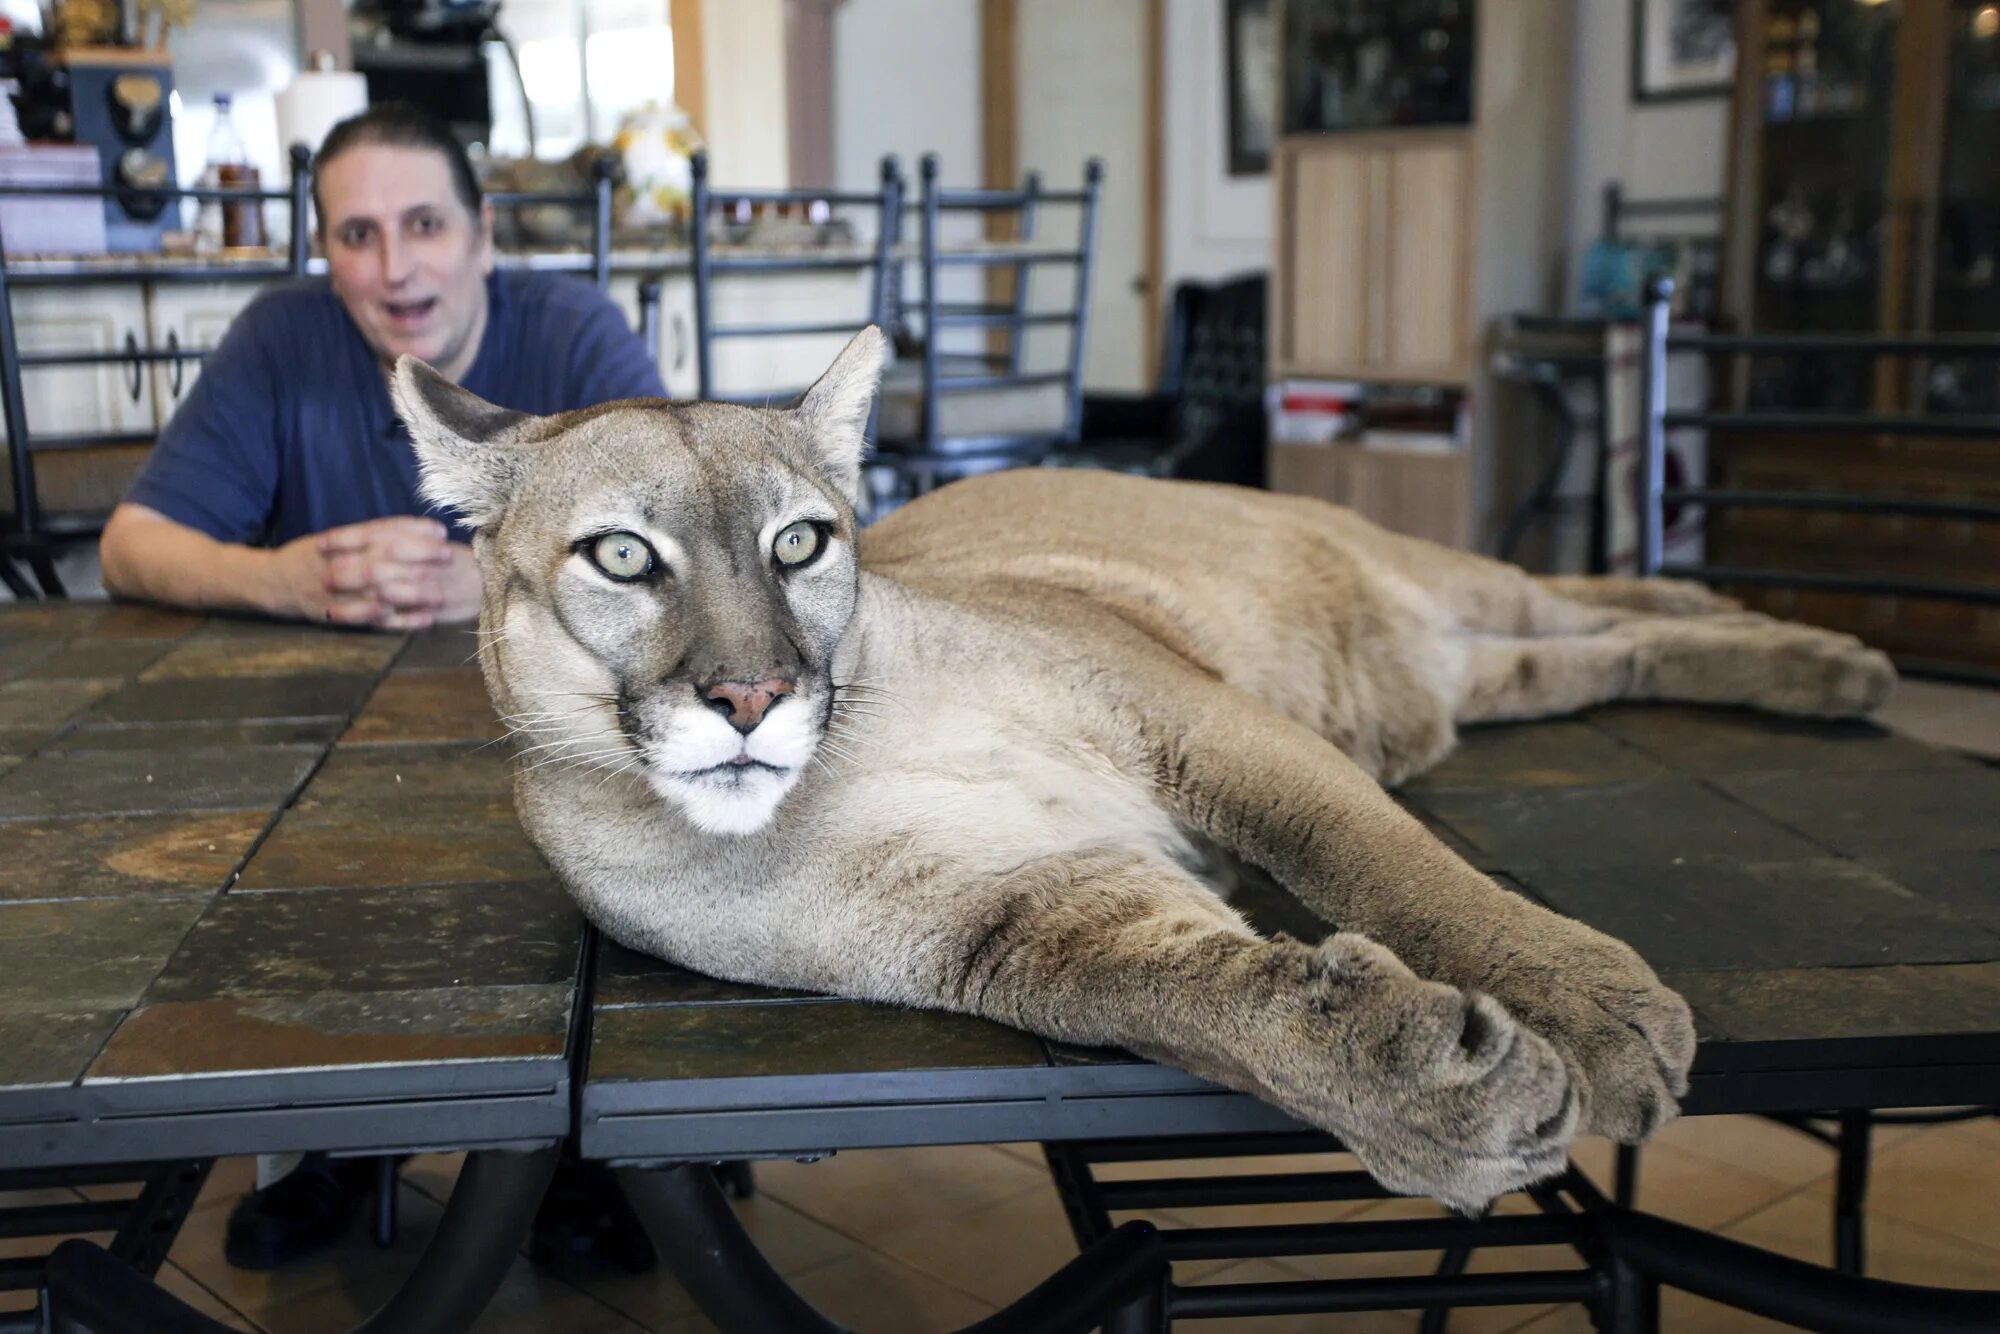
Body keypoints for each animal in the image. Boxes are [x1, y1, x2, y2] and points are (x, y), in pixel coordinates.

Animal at [398, 328, 1896, 1216]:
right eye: (622, 555)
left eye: (801, 543)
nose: (752, 693)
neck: (855, 749)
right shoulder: (1028, 913)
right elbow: (1201, 1002)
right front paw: (1429, 1092)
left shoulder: (1205, 722)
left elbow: (1386, 864)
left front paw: (1587, 1004)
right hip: (1476, 671)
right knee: (1603, 652)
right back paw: (1814, 666)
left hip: (1446, 578)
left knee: (1594, 592)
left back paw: (1813, 644)